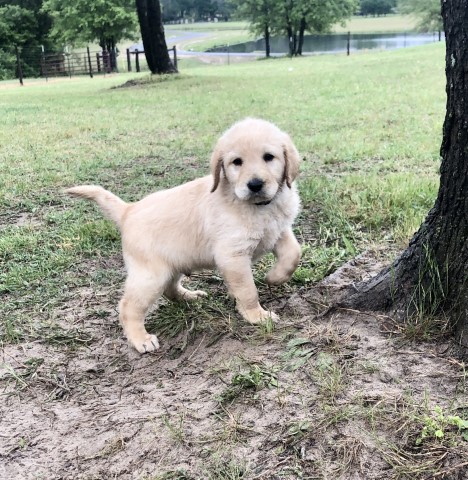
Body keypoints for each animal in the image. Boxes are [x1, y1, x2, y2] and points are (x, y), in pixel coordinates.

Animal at [67, 118, 302, 352]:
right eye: (237, 162)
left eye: (269, 157)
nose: (254, 185)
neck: (260, 207)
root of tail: (128, 210)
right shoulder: (232, 256)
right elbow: (247, 290)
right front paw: (257, 315)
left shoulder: (279, 231)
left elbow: (294, 253)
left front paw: (275, 277)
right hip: (150, 275)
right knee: (128, 306)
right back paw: (140, 339)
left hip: (172, 264)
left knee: (170, 289)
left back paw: (190, 297)